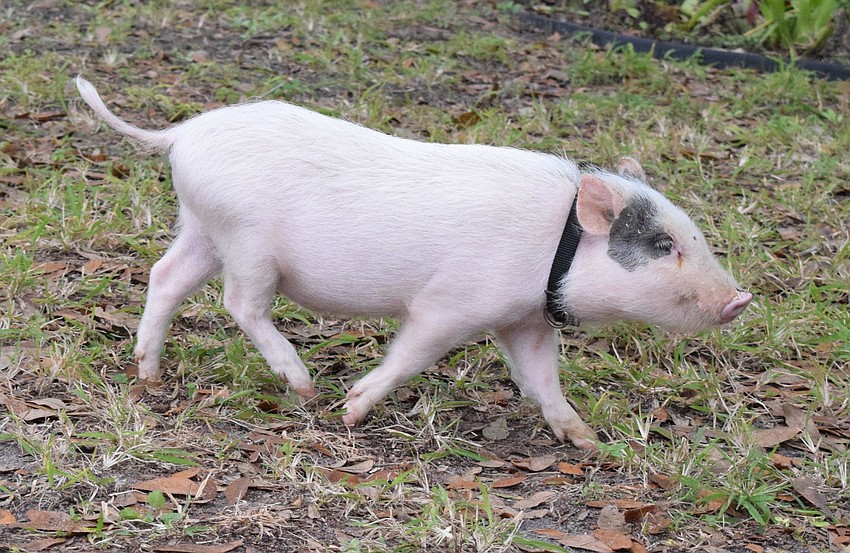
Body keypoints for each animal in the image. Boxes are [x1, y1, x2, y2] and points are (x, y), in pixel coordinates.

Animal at [75, 77, 751, 450]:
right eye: (662, 245)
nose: (740, 300)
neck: (554, 245)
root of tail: (180, 135)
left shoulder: (526, 318)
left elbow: (542, 380)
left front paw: (584, 440)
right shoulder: (452, 304)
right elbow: (412, 352)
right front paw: (350, 410)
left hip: (203, 228)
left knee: (165, 279)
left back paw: (149, 378)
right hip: (246, 240)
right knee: (239, 303)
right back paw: (306, 388)